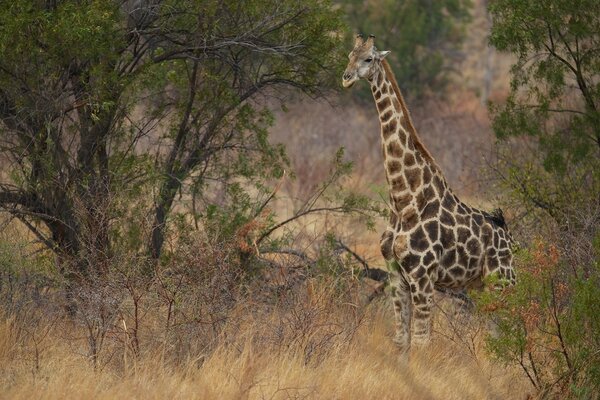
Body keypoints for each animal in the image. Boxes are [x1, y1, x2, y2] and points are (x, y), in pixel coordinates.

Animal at [342, 35, 516, 354]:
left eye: (368, 59)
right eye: (349, 54)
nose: (346, 78)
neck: (404, 199)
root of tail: (510, 238)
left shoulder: (422, 277)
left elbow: (422, 343)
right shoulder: (397, 277)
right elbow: (402, 341)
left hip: (504, 281)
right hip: (481, 286)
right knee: (497, 334)